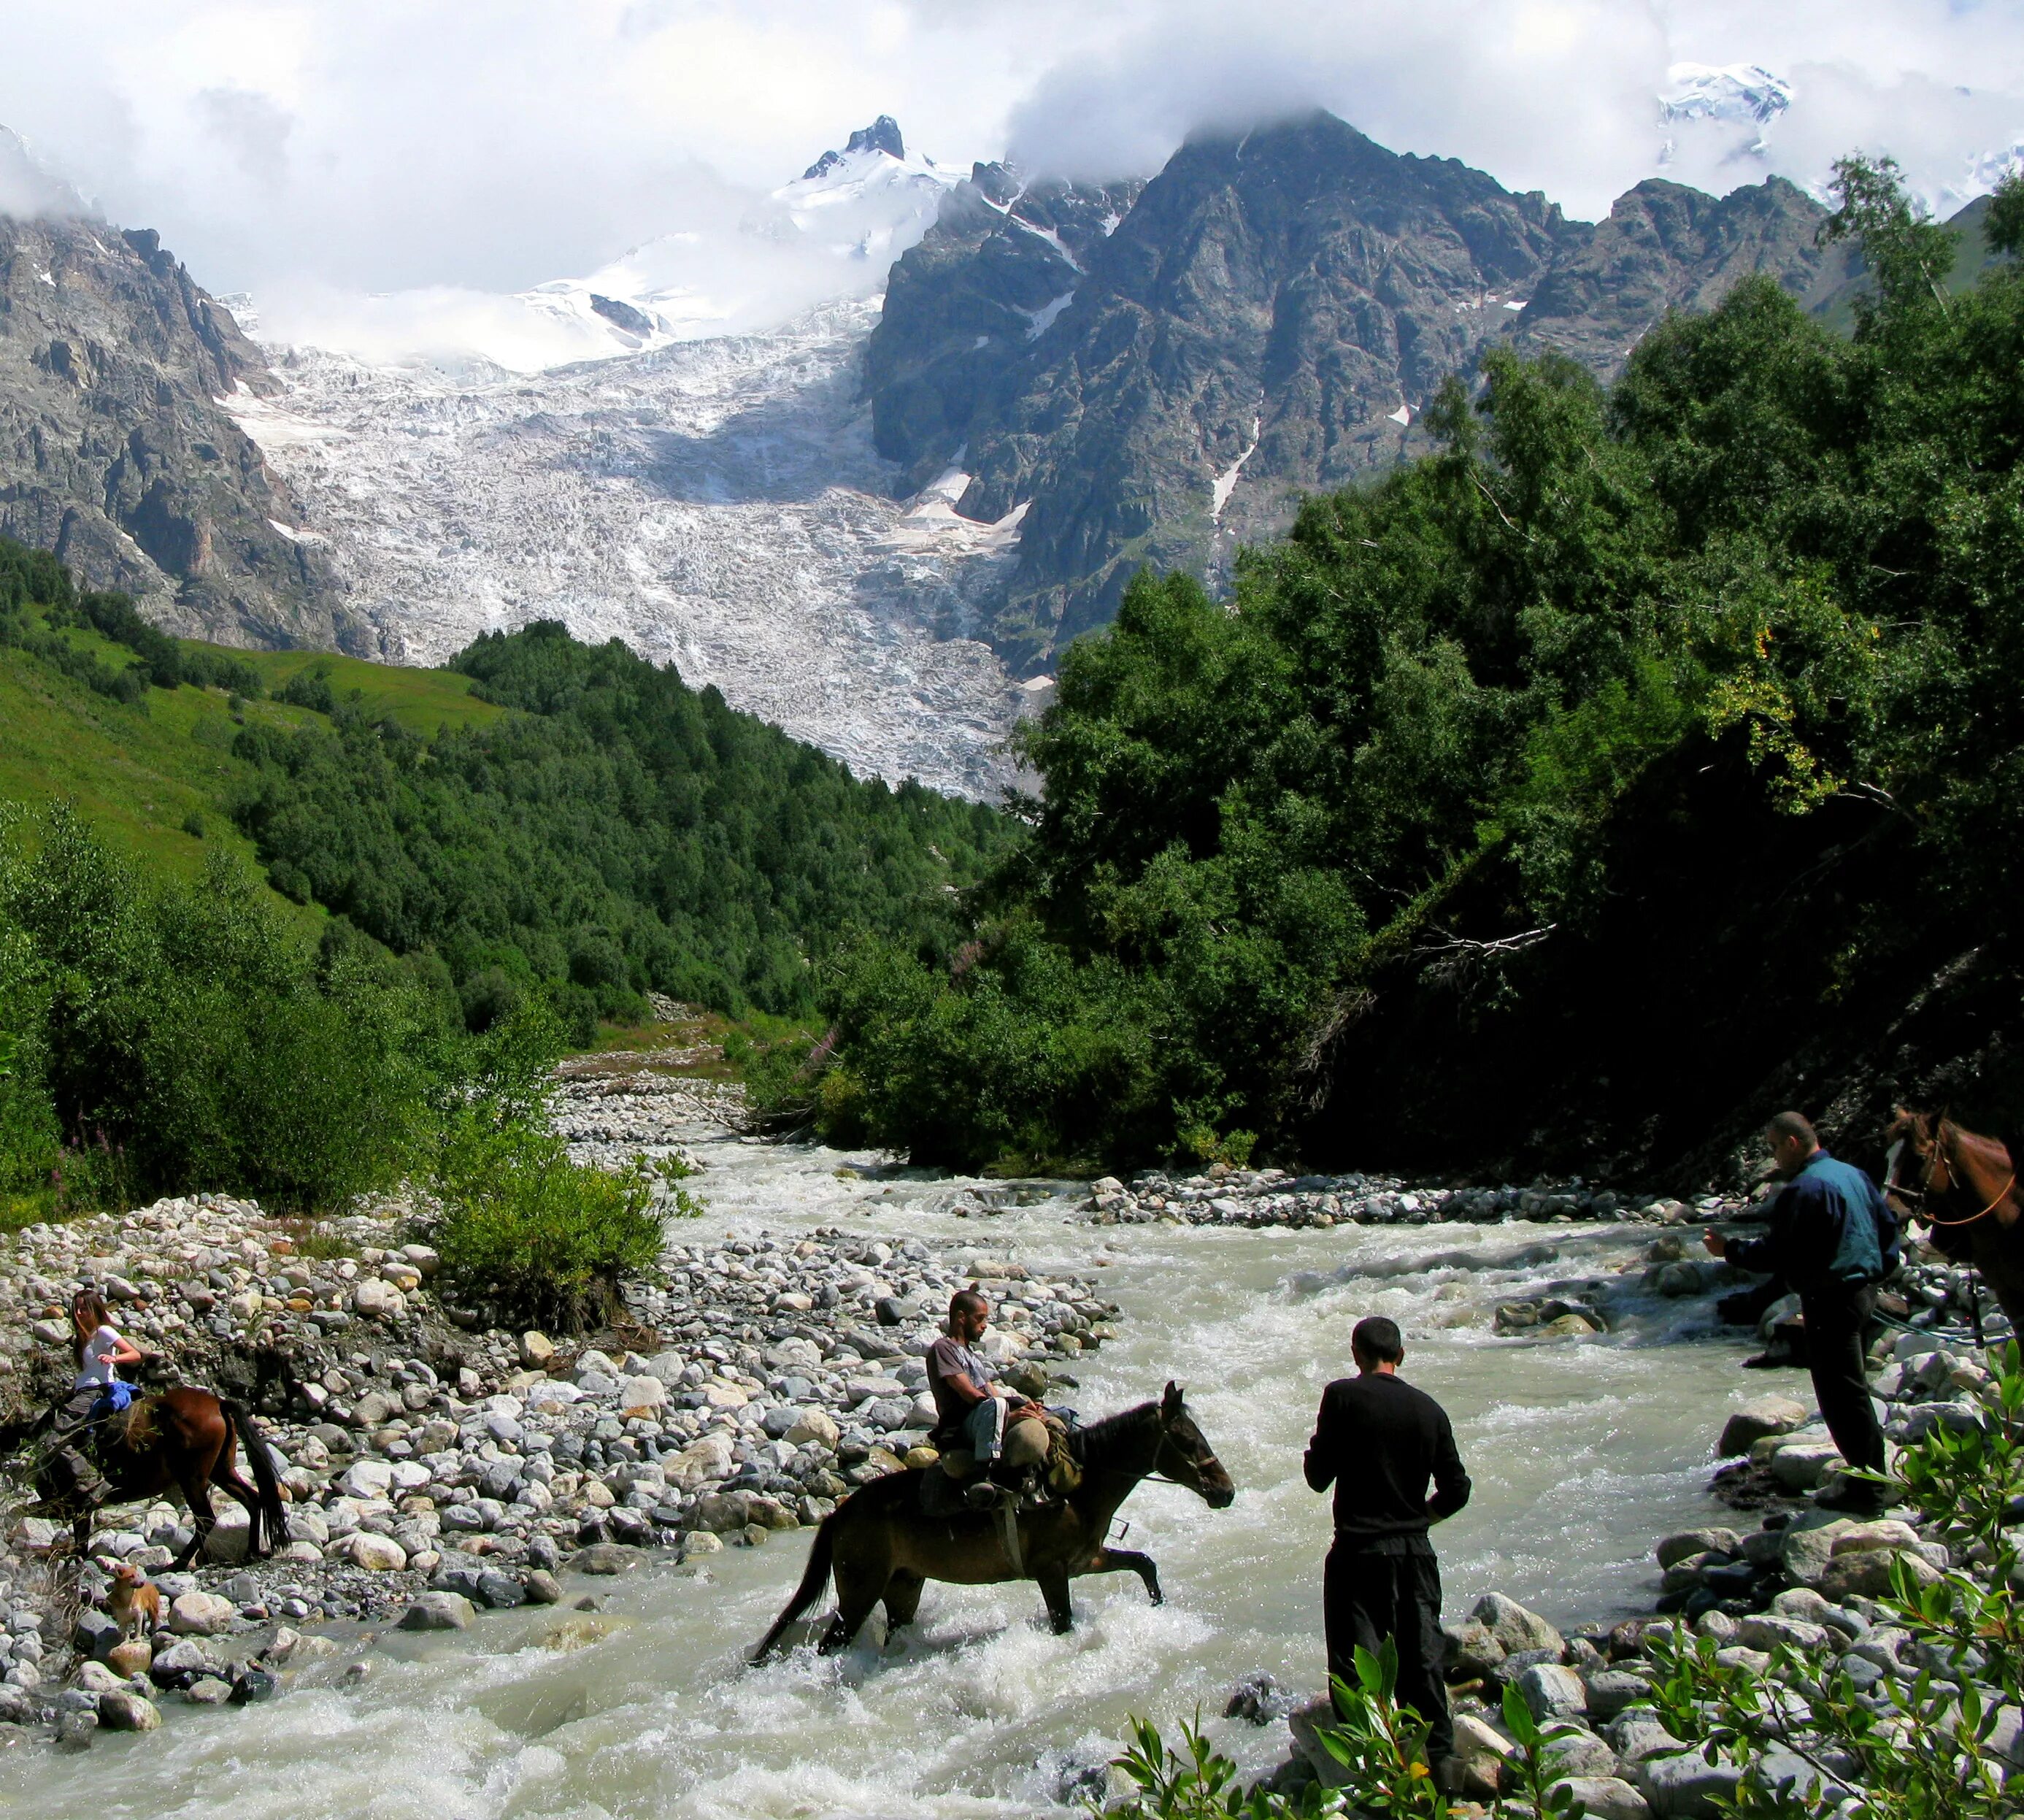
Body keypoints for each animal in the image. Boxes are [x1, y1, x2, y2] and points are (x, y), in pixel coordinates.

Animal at [1, 1384, 289, 1570]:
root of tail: (218, 1404)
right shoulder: (75, 1506)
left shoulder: (72, 1503)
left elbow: (18, 1513)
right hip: (222, 1471)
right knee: (252, 1500)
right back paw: (251, 1552)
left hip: (192, 1479)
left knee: (207, 1518)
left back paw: (179, 1563)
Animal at [757, 1384, 1230, 1668]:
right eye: (1187, 1441)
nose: (1225, 1492)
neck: (1077, 1486)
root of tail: (840, 1514)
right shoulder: (1052, 1573)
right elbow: (1063, 1622)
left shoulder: (1088, 1560)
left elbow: (1144, 1564)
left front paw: (1158, 1607)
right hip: (859, 1593)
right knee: (830, 1643)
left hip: (903, 1587)